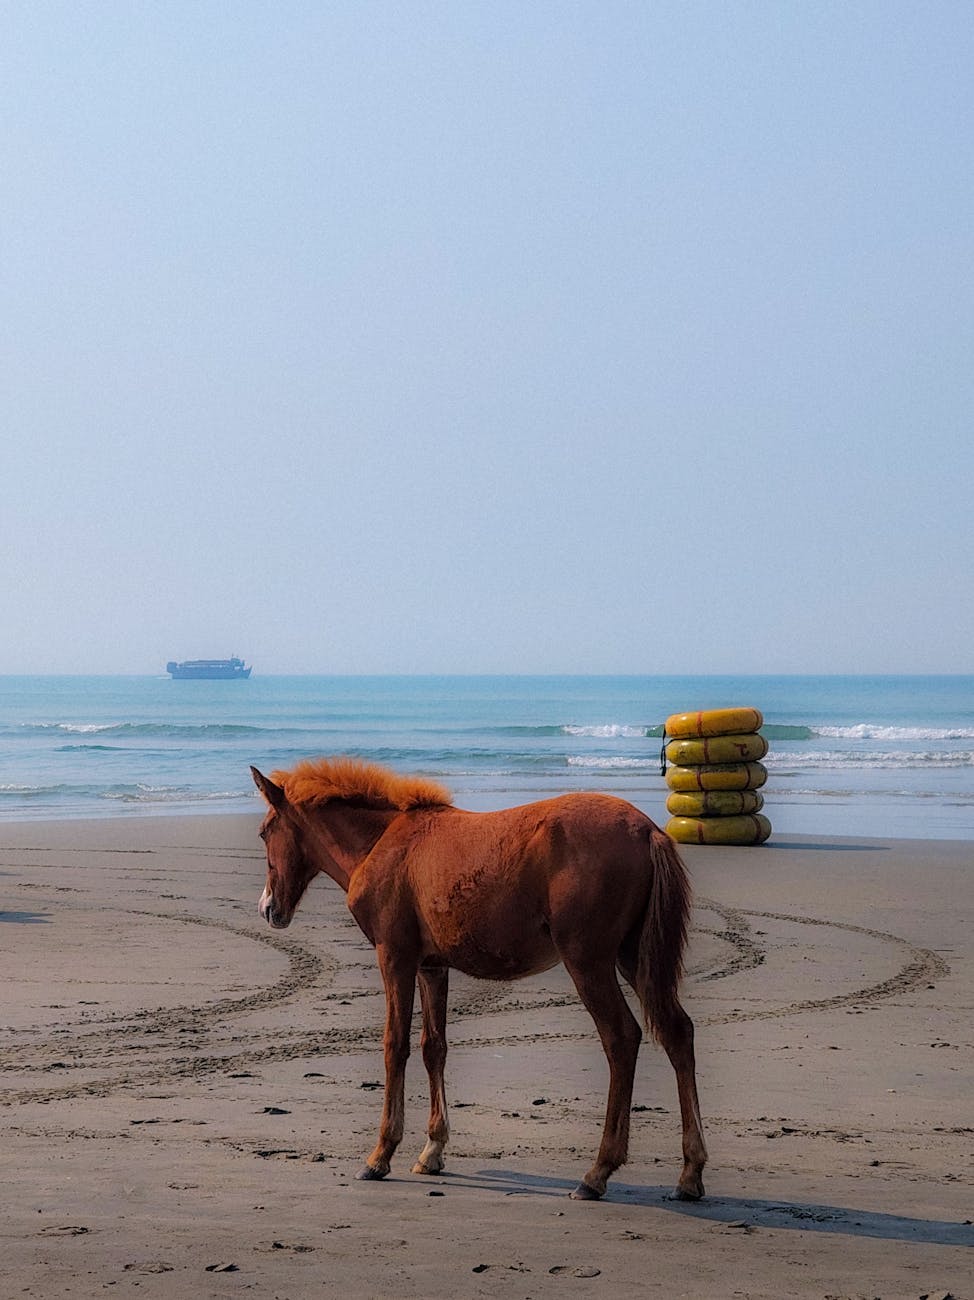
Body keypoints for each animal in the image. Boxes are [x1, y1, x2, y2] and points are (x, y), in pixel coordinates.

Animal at [251, 757, 707, 1202]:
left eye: (264, 832)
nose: (268, 909)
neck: (383, 842)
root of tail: (647, 830)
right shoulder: (431, 966)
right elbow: (433, 1047)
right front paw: (432, 1150)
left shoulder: (394, 956)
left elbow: (394, 1045)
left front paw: (380, 1154)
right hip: (633, 956)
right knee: (678, 1032)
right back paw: (690, 1173)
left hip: (587, 960)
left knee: (621, 1038)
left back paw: (597, 1172)